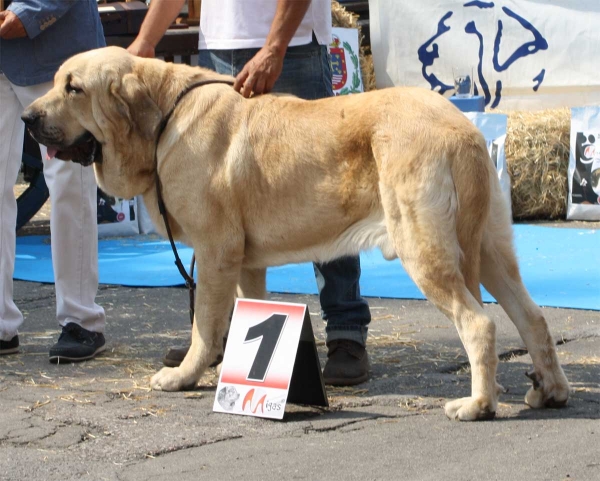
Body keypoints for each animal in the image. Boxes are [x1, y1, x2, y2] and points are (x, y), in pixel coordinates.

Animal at [22, 47, 568, 418]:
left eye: (74, 88)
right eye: (57, 83)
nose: (28, 117)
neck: (162, 118)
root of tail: (464, 131)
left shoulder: (216, 252)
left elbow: (204, 324)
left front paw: (184, 375)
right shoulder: (246, 263)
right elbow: (238, 313)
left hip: (426, 250)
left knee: (479, 324)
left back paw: (477, 405)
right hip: (490, 249)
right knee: (532, 317)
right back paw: (550, 391)